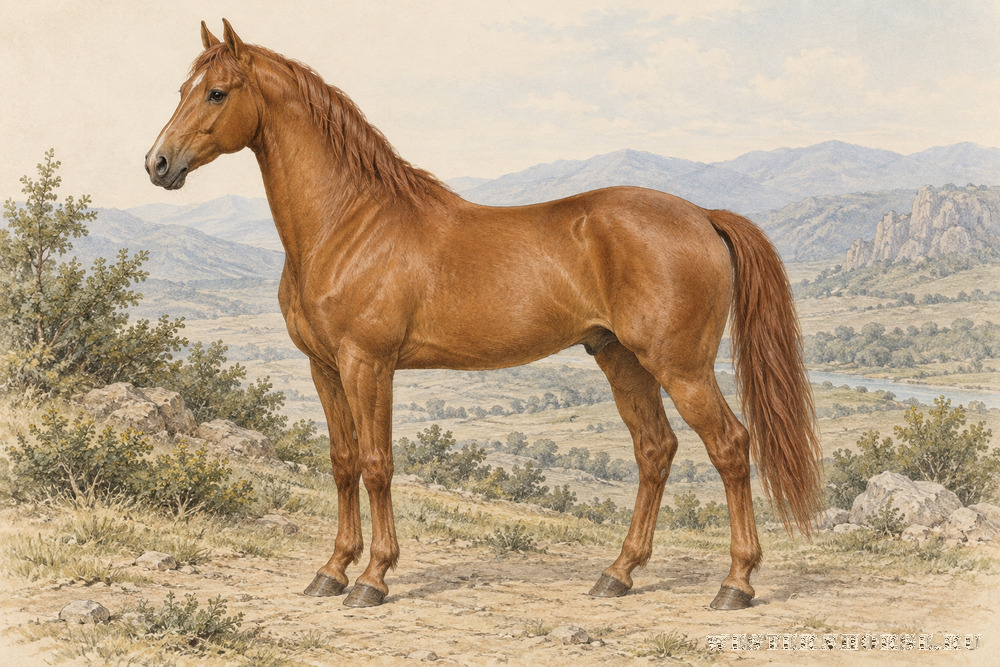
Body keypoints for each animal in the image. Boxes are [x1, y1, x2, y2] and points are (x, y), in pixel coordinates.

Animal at [146, 20, 822, 610]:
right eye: (181, 89)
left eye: (217, 91)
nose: (157, 164)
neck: (349, 223)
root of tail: (703, 215)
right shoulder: (325, 368)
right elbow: (341, 464)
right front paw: (331, 571)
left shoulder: (369, 365)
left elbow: (376, 465)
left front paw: (373, 579)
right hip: (621, 359)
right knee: (654, 450)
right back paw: (618, 574)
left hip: (681, 367)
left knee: (730, 446)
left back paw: (736, 584)